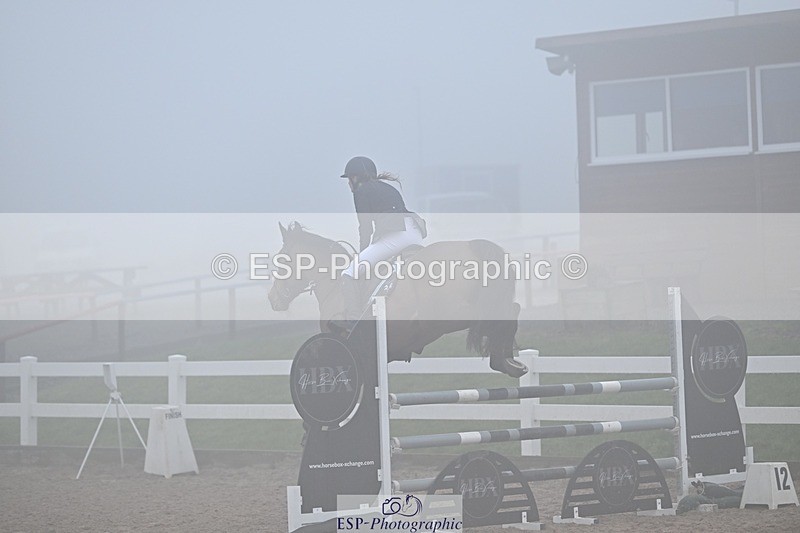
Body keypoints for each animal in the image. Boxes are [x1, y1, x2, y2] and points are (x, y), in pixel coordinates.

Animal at [267, 221, 528, 378]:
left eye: (281, 260)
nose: (272, 299)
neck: (333, 285)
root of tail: (473, 247)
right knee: (512, 310)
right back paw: (508, 362)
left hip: (449, 314)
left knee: (494, 317)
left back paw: (501, 360)